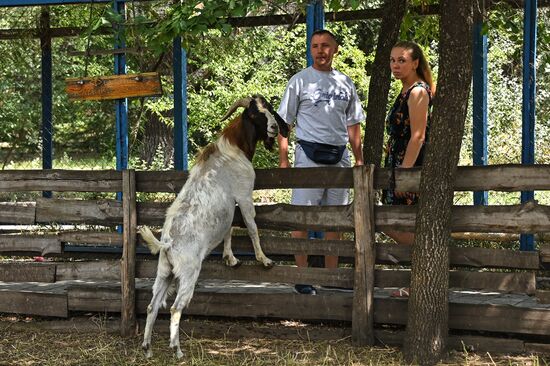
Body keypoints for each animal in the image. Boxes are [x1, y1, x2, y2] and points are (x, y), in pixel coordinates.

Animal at [140, 93, 292, 358]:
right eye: (254, 114)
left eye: (269, 109)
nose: (274, 127)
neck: (233, 149)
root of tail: (167, 244)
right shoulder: (244, 194)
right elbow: (251, 226)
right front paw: (264, 260)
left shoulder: (230, 205)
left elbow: (229, 228)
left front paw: (230, 259)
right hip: (188, 273)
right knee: (176, 308)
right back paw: (177, 350)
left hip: (164, 273)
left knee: (152, 306)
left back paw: (148, 348)